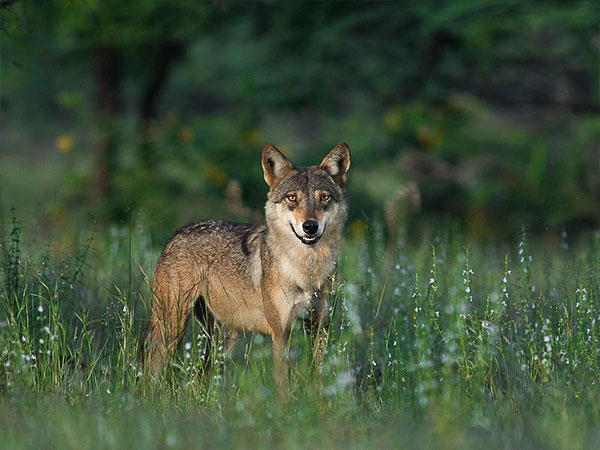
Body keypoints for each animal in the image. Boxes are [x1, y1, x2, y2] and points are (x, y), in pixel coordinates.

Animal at [144, 142, 352, 396]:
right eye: (292, 198)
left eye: (324, 197)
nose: (310, 226)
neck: (307, 271)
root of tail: (176, 234)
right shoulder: (280, 333)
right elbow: (284, 385)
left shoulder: (319, 327)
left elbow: (319, 377)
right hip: (171, 328)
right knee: (151, 368)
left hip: (222, 339)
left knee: (203, 376)